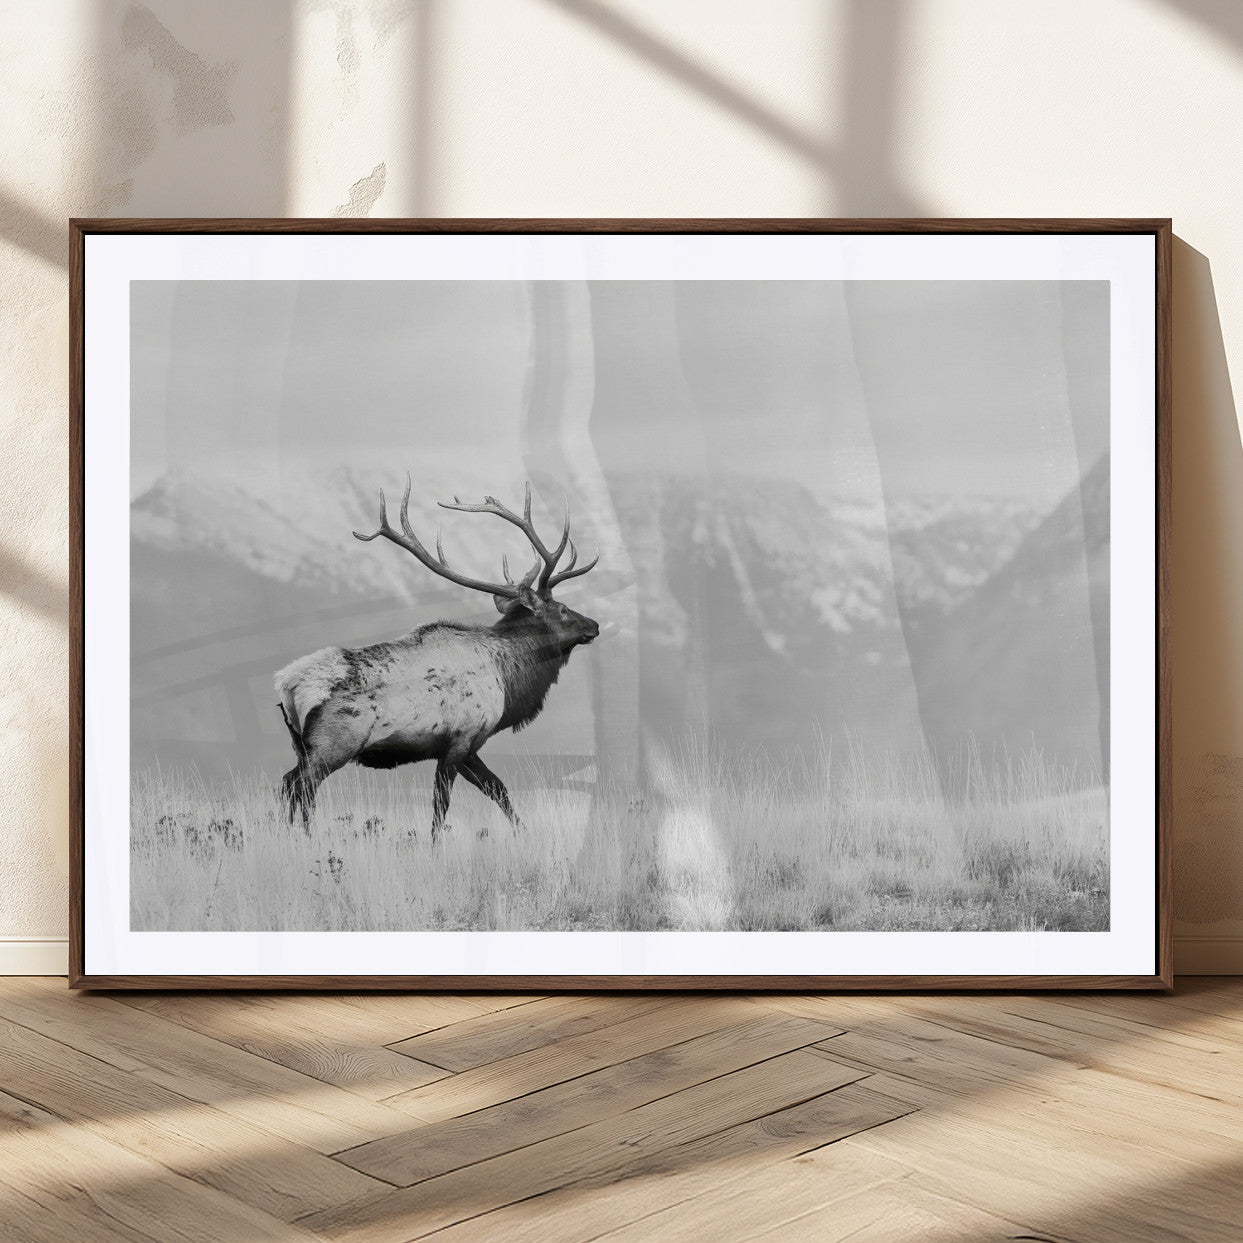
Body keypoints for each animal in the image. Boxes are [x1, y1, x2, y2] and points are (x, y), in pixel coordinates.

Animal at [274, 478, 601, 840]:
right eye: (563, 609)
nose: (594, 625)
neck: (508, 677)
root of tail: (287, 685)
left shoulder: (469, 747)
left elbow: (498, 789)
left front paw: (524, 835)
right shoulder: (459, 739)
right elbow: (441, 806)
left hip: (301, 745)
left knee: (289, 782)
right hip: (332, 744)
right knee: (300, 786)